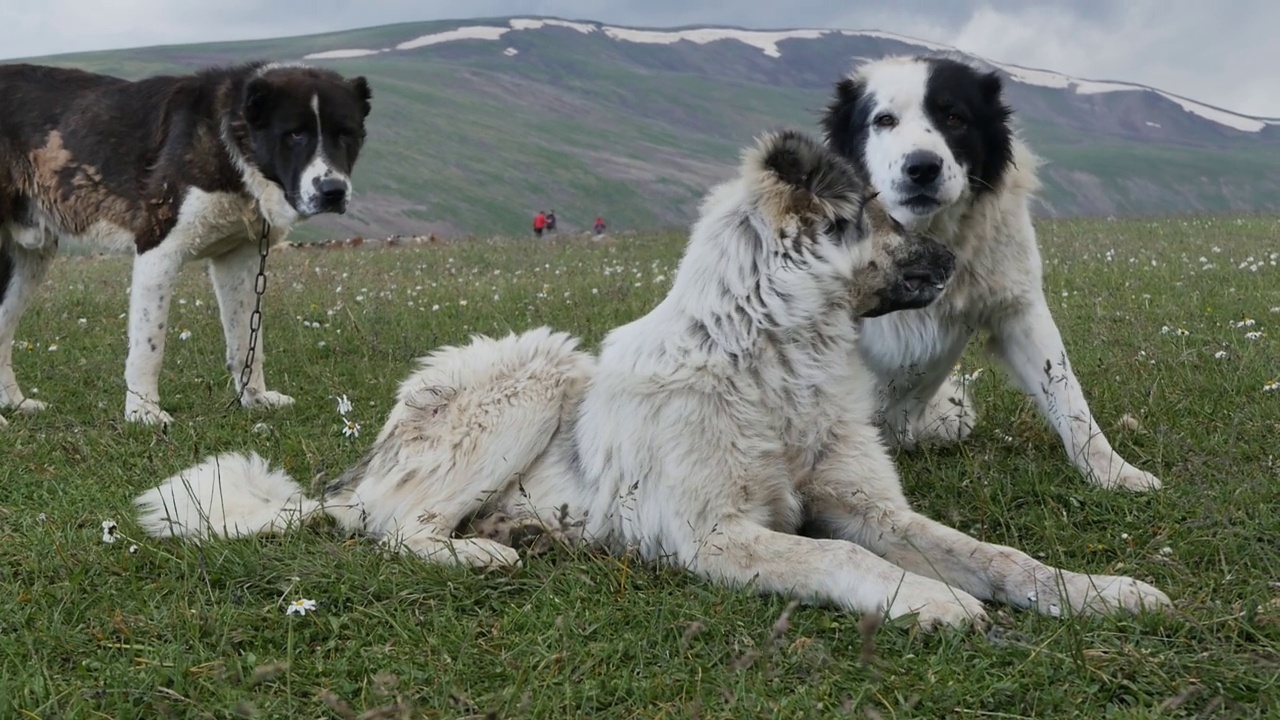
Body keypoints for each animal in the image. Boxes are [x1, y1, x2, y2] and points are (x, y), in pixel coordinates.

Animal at [0, 60, 373, 425]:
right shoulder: (158, 250)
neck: (230, 141)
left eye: (345, 135)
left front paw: (255, 399)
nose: (334, 191)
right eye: (296, 134)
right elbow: (149, 345)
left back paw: (15, 405)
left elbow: (246, 342)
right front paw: (143, 412)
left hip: (29, 260)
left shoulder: (239, 260)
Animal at [819, 56, 1162, 489]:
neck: (925, 235)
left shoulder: (1019, 311)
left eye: (954, 117)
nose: (922, 167)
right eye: (884, 120)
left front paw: (1114, 472)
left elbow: (1070, 400)